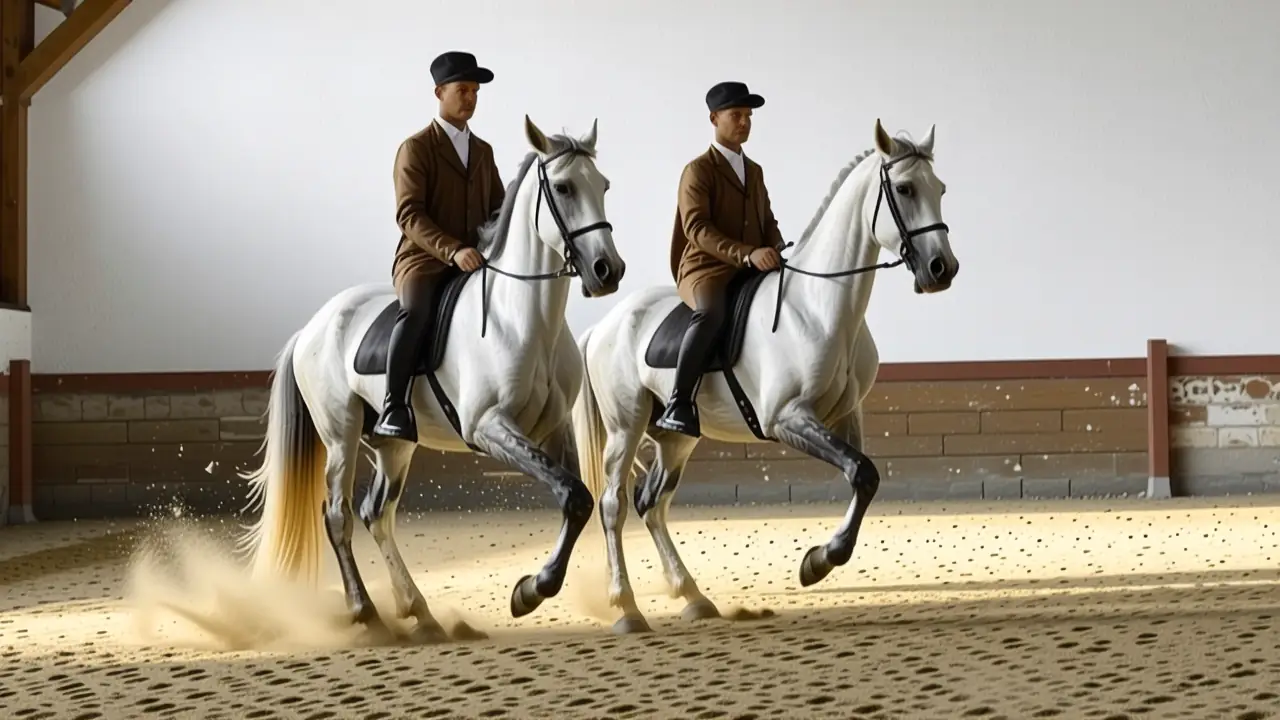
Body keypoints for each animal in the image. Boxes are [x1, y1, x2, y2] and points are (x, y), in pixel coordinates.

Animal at [238, 116, 626, 643]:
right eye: (564, 188)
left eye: (603, 186)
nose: (609, 270)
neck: (522, 317)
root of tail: (312, 327)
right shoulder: (488, 427)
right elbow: (571, 493)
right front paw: (530, 590)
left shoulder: (553, 428)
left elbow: (578, 500)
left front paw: (530, 589)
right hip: (340, 435)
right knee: (338, 515)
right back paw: (366, 612)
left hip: (392, 442)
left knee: (376, 515)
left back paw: (419, 612)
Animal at [571, 119, 959, 633]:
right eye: (905, 189)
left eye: (941, 189)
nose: (942, 269)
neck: (818, 305)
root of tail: (604, 326)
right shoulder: (786, 418)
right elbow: (862, 471)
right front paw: (818, 561)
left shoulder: (845, 415)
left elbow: (865, 478)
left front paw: (819, 560)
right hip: (625, 428)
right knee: (613, 505)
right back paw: (627, 608)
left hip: (675, 437)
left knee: (651, 504)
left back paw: (692, 596)